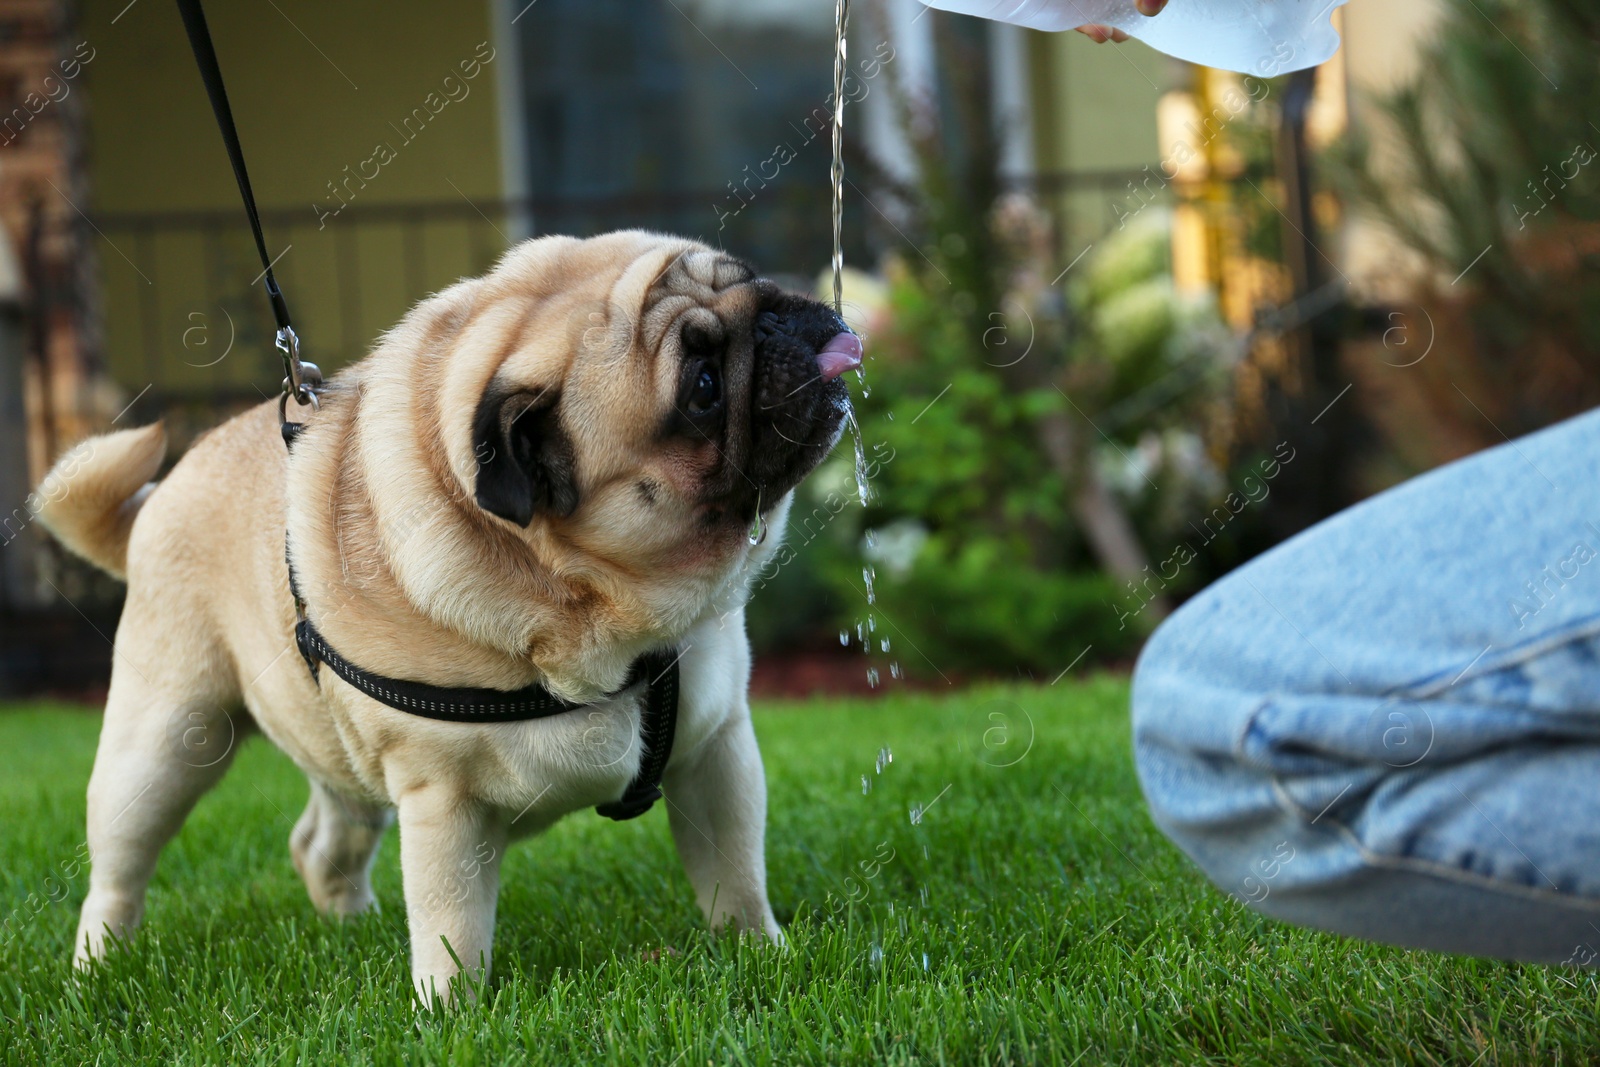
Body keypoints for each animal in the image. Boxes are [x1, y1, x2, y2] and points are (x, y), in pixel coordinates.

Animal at [37, 230, 864, 1004]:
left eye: (747, 276)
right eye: (701, 387)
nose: (778, 314)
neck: (595, 608)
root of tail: (158, 495)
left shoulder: (715, 751)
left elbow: (735, 872)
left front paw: (761, 953)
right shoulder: (445, 803)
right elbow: (452, 925)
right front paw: (449, 1014)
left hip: (336, 748)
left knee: (322, 839)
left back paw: (350, 925)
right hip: (167, 742)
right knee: (119, 867)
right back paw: (96, 968)